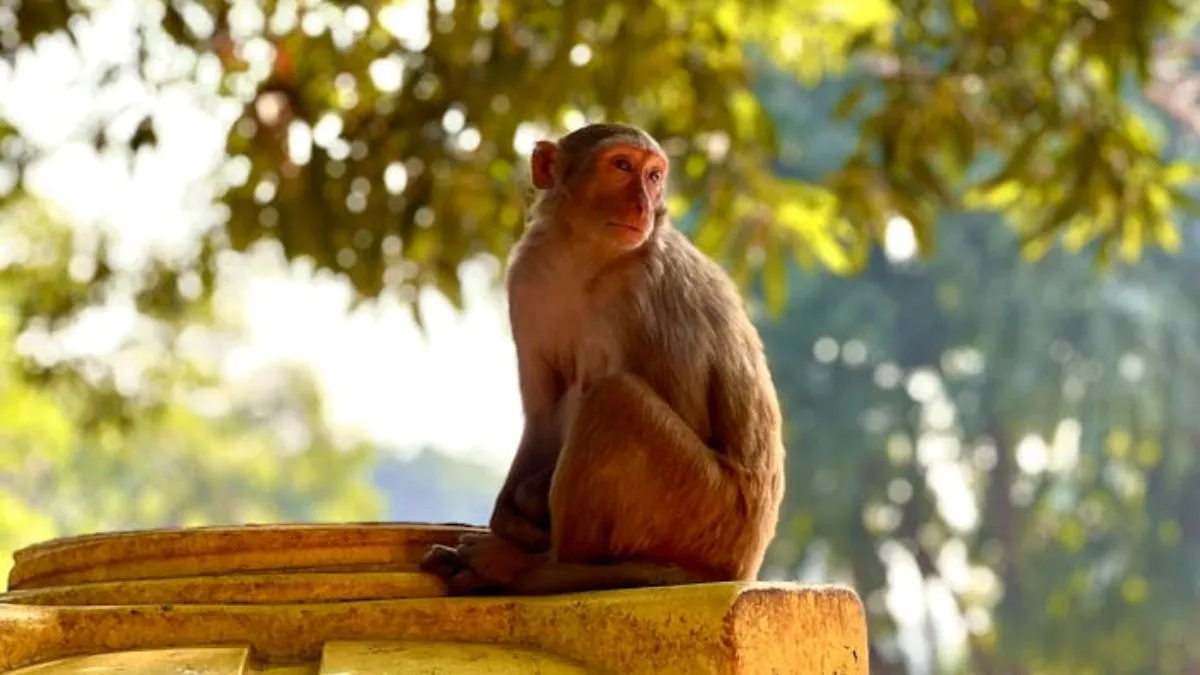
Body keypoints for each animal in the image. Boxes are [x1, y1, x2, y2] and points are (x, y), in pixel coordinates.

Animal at [419, 122, 785, 596]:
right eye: (622, 165)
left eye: (653, 176)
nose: (643, 204)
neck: (587, 258)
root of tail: (744, 564)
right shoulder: (526, 277)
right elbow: (542, 411)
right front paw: (509, 514)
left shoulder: (651, 290)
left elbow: (690, 413)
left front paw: (519, 528)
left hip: (705, 511)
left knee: (615, 398)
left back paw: (533, 569)